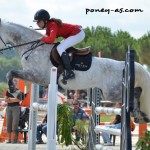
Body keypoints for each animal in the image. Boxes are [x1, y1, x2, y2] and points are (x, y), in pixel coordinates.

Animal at [0, 19, 150, 123]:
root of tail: (124, 65)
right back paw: (140, 115)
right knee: (136, 93)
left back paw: (140, 114)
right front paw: (18, 93)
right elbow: (11, 74)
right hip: (110, 92)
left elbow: (10, 73)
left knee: (135, 93)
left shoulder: (36, 76)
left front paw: (16, 92)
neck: (33, 48)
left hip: (112, 92)